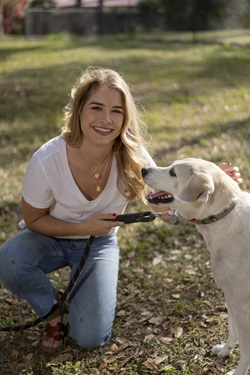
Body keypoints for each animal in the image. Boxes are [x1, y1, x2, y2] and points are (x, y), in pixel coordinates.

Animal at [142, 158, 250, 375]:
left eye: (173, 173)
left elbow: (245, 350)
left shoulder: (242, 306)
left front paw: (239, 372)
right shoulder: (230, 298)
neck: (223, 217)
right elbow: (232, 330)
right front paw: (225, 350)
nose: (143, 169)